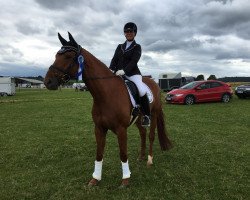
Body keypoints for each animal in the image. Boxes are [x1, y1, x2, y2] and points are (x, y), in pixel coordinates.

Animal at [44, 32, 171, 187]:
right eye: (56, 55)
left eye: (68, 57)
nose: (48, 82)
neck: (106, 94)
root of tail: (154, 83)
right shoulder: (99, 128)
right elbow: (99, 154)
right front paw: (95, 179)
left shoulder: (121, 129)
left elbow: (123, 154)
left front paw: (125, 179)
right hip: (138, 118)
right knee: (142, 133)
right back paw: (141, 157)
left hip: (154, 113)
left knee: (151, 135)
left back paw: (149, 160)